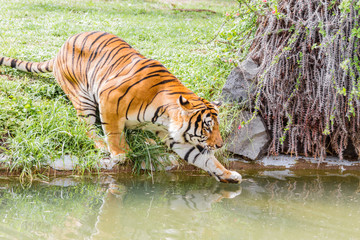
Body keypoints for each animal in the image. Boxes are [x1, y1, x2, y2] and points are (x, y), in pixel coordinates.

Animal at [0, 31, 242, 183]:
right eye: (208, 126)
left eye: (216, 126)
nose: (220, 145)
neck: (165, 117)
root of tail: (60, 49)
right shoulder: (108, 98)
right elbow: (113, 132)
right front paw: (119, 154)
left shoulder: (178, 139)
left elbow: (204, 159)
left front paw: (229, 174)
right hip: (83, 97)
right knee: (88, 127)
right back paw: (101, 144)